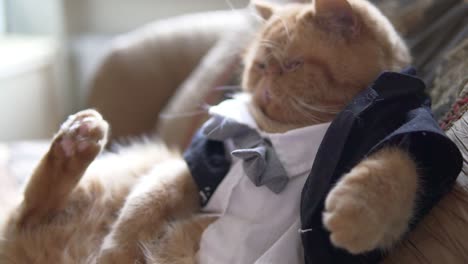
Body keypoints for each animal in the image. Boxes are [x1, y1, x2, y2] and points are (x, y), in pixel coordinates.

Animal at [0, 0, 414, 262]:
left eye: (291, 65)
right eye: (259, 66)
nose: (264, 87)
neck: (272, 143)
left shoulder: (394, 134)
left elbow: (394, 169)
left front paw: (355, 213)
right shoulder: (189, 166)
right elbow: (139, 214)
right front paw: (115, 254)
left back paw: (78, 141)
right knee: (28, 208)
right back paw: (77, 140)